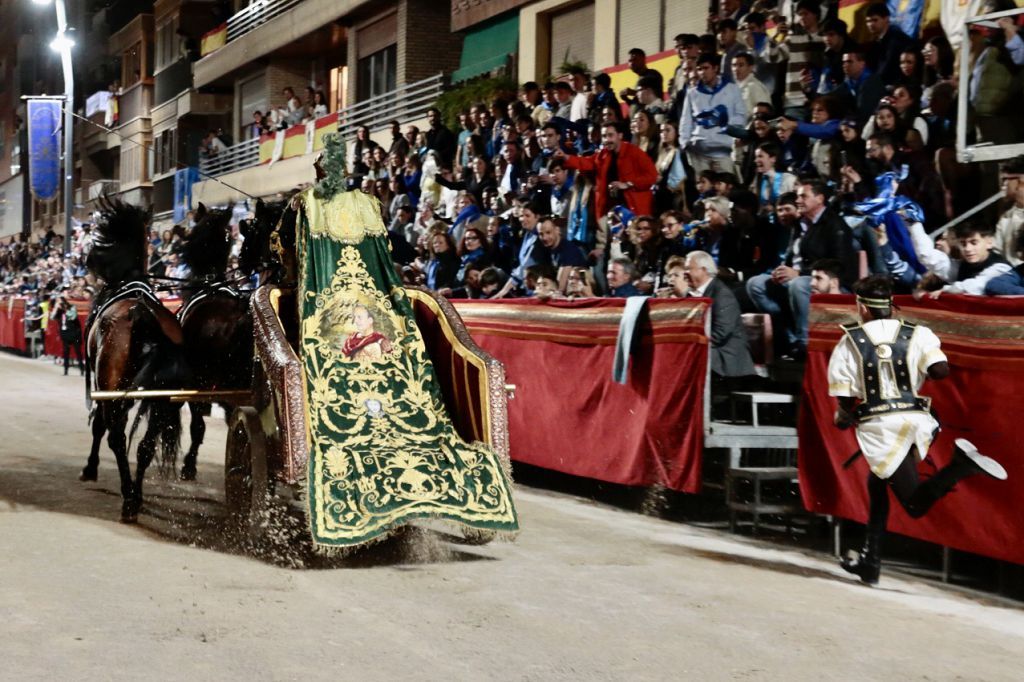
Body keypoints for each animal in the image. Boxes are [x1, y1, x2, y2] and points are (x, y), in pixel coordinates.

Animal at [79, 196, 188, 520]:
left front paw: (90, 467)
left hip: (112, 383)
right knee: (146, 445)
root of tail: (141, 314)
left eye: (100, 238)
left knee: (115, 437)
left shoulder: (104, 386)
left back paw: (128, 497)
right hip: (161, 399)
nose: (86, 260)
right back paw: (136, 496)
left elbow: (99, 426)